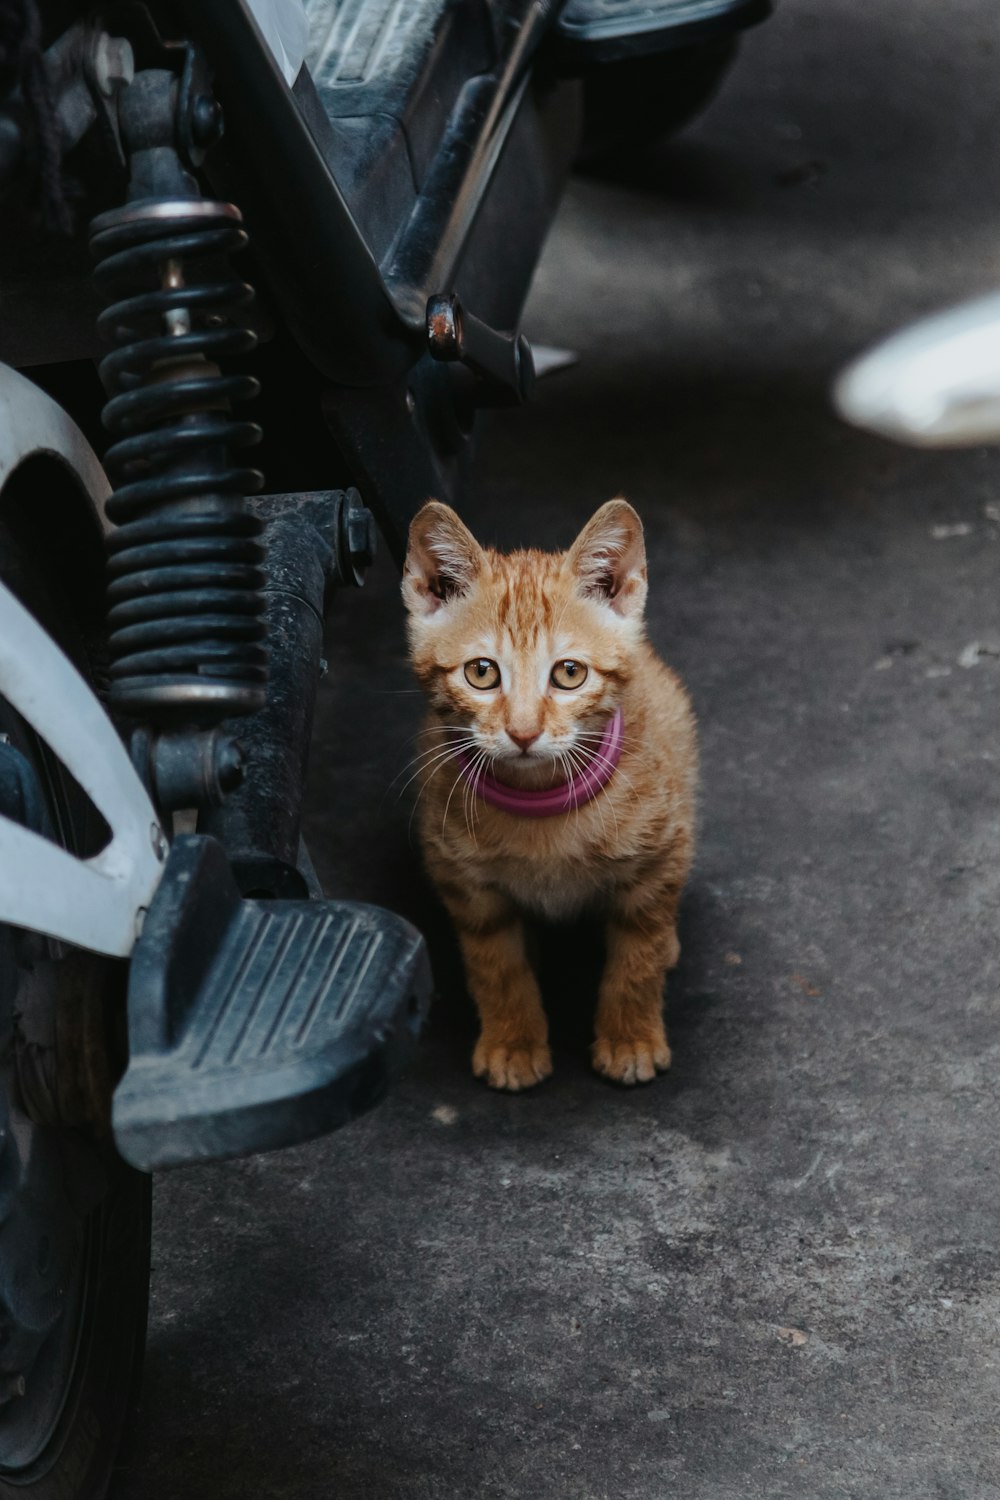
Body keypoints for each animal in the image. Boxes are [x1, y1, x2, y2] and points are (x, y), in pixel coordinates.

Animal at [401, 501, 701, 1092]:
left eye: (569, 673)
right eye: (481, 672)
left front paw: (630, 1035)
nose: (523, 732)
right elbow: (496, 965)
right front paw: (513, 1040)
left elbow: (639, 955)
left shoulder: (659, 857)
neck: (540, 803)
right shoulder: (465, 882)